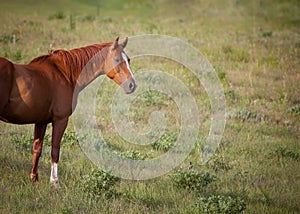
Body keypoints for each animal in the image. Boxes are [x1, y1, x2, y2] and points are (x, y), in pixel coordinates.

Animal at [0, 37, 136, 189]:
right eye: (117, 59)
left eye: (128, 59)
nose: (132, 85)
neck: (64, 73)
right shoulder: (61, 120)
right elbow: (55, 151)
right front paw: (55, 183)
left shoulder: (41, 121)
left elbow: (37, 149)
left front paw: (34, 179)